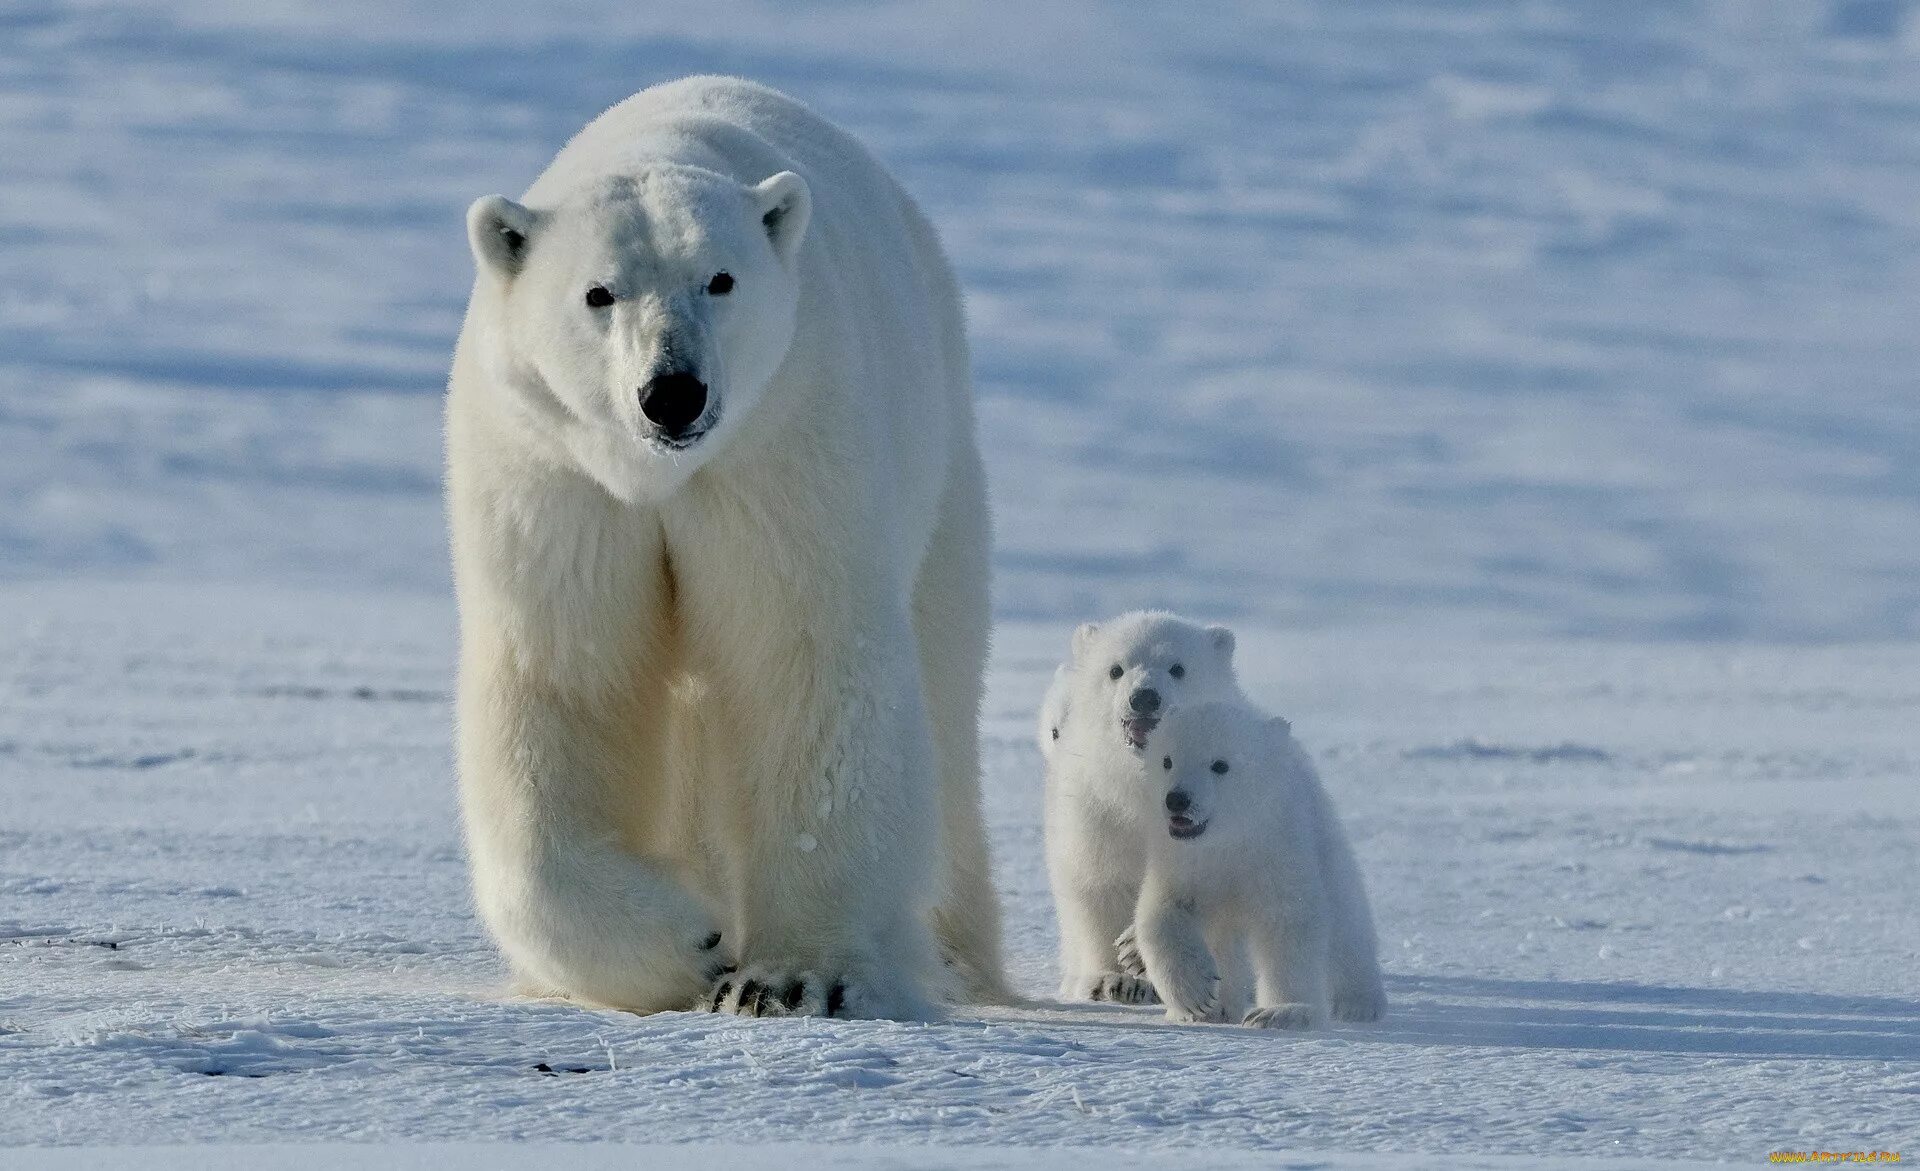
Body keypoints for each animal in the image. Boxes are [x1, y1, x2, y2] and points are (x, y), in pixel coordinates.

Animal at [445, 77, 1006, 1013]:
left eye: (720, 278)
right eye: (599, 293)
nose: (672, 391)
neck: (660, 477)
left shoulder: (780, 445)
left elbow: (800, 658)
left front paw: (792, 976)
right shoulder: (559, 479)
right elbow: (567, 679)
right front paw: (690, 939)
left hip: (938, 467)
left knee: (944, 686)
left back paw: (958, 957)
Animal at [1036, 606, 1244, 998]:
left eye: (1178, 668)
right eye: (1115, 669)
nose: (1145, 697)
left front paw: (1136, 952)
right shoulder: (1098, 810)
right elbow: (1096, 885)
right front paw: (1112, 979)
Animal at [1128, 698, 1390, 1028]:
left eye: (1220, 765)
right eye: (1167, 760)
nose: (1177, 799)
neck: (1230, 839)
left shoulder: (1276, 853)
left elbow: (1288, 925)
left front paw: (1281, 1012)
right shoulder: (1181, 862)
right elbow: (1159, 914)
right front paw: (1196, 997)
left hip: (1327, 847)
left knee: (1348, 922)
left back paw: (1359, 1004)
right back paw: (1220, 1008)